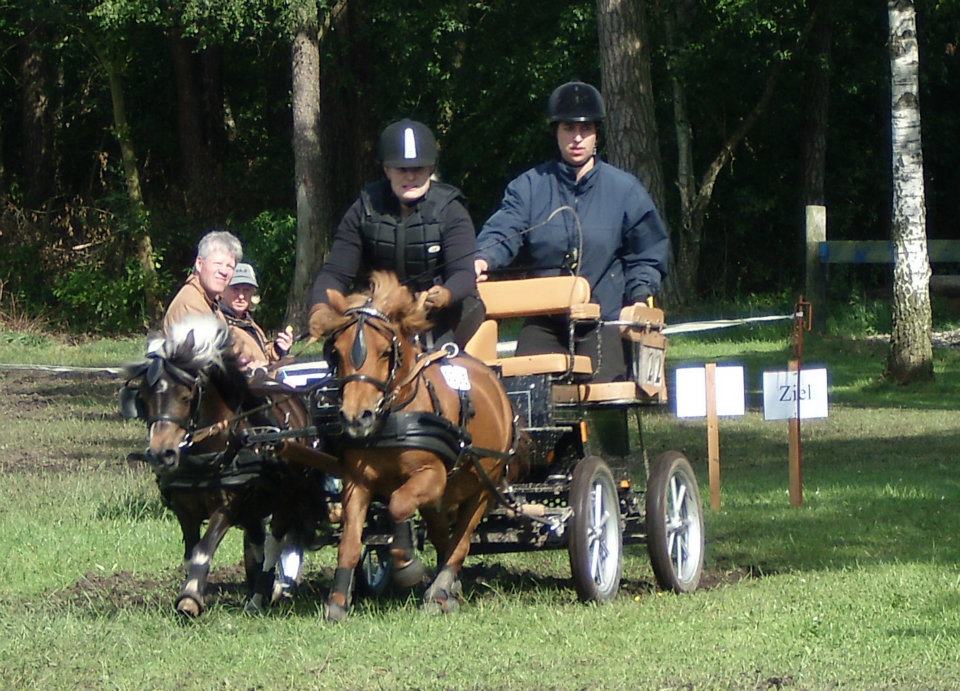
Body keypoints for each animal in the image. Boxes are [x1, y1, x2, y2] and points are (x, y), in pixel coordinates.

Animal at [124, 314, 328, 616]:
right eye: (144, 398)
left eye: (186, 396)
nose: (162, 454)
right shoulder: (185, 510)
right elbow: (191, 555)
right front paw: (192, 594)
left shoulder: (227, 507)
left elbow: (203, 550)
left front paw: (190, 599)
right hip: (256, 506)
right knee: (257, 545)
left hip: (285, 498)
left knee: (274, 544)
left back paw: (263, 595)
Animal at [308, 272, 516, 620]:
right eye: (336, 351)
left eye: (384, 352)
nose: (356, 417)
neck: (395, 416)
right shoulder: (357, 481)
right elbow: (350, 541)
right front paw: (337, 601)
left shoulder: (431, 475)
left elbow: (398, 505)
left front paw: (407, 566)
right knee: (443, 535)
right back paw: (449, 591)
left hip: (484, 485)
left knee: (462, 539)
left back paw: (439, 589)